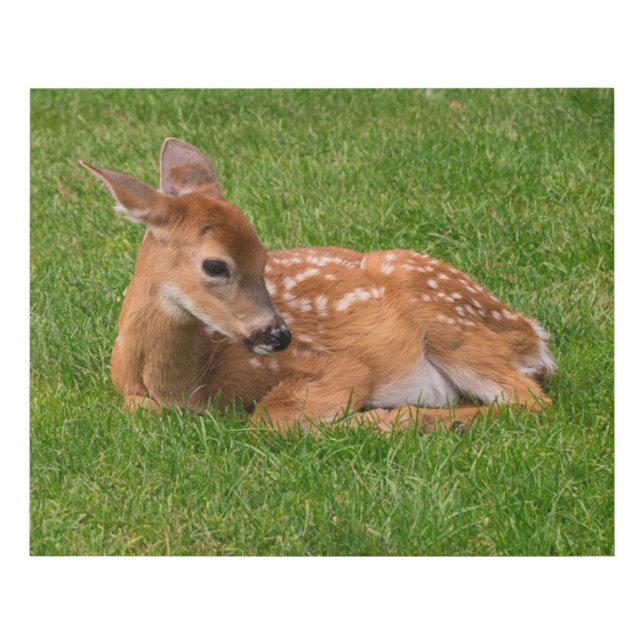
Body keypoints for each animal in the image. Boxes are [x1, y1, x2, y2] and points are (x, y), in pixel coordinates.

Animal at [80, 138, 556, 436]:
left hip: (447, 319)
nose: (279, 335)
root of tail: (533, 335)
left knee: (530, 401)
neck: (189, 380)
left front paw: (380, 419)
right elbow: (140, 409)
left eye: (264, 257)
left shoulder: (336, 366)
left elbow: (269, 418)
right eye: (215, 265)